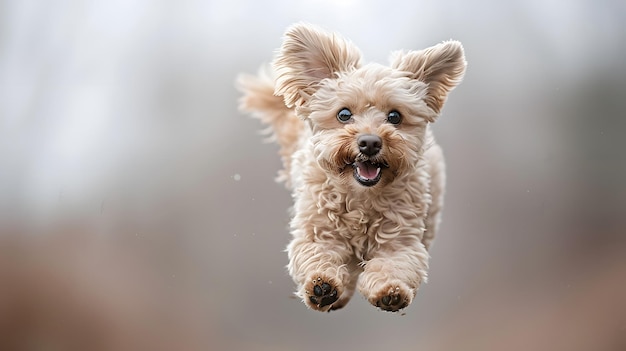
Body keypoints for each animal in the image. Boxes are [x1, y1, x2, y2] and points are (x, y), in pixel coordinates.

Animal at [236, 22, 466, 314]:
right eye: (344, 114)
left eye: (395, 116)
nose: (369, 142)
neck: (361, 199)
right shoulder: (316, 231)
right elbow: (317, 255)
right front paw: (322, 285)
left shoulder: (401, 240)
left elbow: (395, 264)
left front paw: (391, 292)